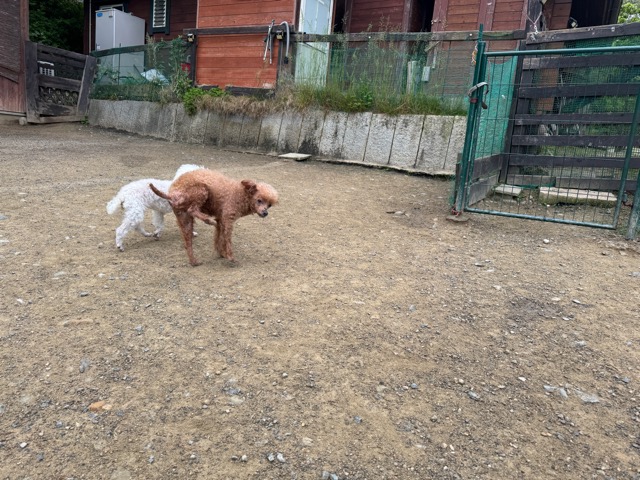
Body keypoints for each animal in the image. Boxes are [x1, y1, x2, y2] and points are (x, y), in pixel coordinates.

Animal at [149, 168, 279, 266]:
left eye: (269, 205)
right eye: (259, 200)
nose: (265, 213)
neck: (241, 194)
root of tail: (172, 194)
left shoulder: (220, 220)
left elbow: (218, 237)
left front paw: (221, 253)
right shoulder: (228, 218)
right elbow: (227, 239)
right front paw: (230, 256)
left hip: (184, 218)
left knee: (188, 242)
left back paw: (194, 262)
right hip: (201, 190)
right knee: (193, 209)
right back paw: (208, 220)